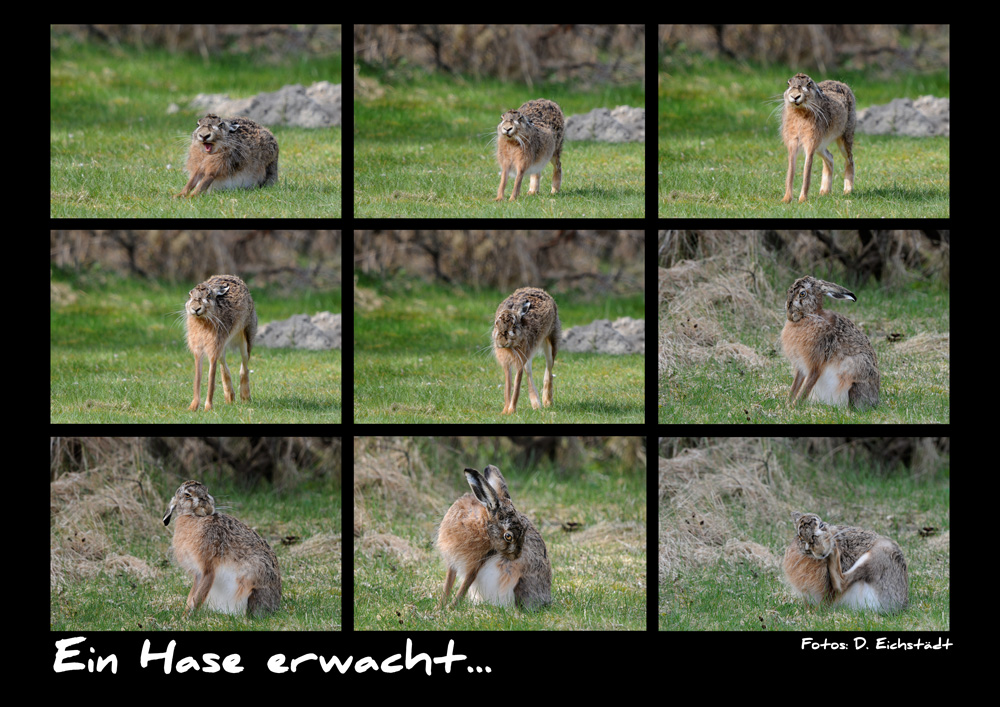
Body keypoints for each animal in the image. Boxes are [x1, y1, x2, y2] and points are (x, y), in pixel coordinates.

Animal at [162, 480, 281, 616]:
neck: (195, 517)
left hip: (255, 576)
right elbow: (192, 595)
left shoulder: (208, 567)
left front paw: (187, 616)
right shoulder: (198, 573)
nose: (207, 506)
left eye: (207, 491)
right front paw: (185, 614)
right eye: (187, 495)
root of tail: (276, 604)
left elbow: (198, 596)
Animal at [184, 274, 257, 412]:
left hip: (246, 336)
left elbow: (211, 379)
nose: (195, 308)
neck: (203, 319)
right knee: (224, 366)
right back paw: (230, 398)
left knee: (244, 365)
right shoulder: (199, 350)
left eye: (208, 296)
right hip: (222, 347)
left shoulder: (213, 348)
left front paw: (208, 408)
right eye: (190, 295)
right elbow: (197, 378)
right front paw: (192, 407)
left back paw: (245, 397)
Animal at [436, 465, 552, 610]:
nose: (517, 555)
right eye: (508, 537)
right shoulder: (452, 559)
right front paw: (440, 606)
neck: (482, 525)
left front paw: (451, 607)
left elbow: (466, 584)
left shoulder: (478, 562)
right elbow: (448, 582)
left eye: (525, 530)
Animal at [780, 73, 855, 203]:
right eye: (788, 84)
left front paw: (802, 200)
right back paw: (824, 192)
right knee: (830, 158)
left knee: (849, 159)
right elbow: (790, 172)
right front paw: (786, 199)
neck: (800, 110)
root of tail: (842, 84)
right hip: (820, 145)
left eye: (809, 84)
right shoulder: (793, 143)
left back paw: (847, 191)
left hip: (844, 137)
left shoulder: (810, 143)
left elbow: (807, 171)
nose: (795, 96)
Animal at [781, 276, 880, 409]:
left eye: (802, 294)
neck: (810, 316)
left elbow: (806, 387)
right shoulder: (800, 366)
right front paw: (787, 404)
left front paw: (794, 406)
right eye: (788, 292)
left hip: (855, 372)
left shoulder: (816, 364)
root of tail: (875, 399)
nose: (789, 313)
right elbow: (795, 386)